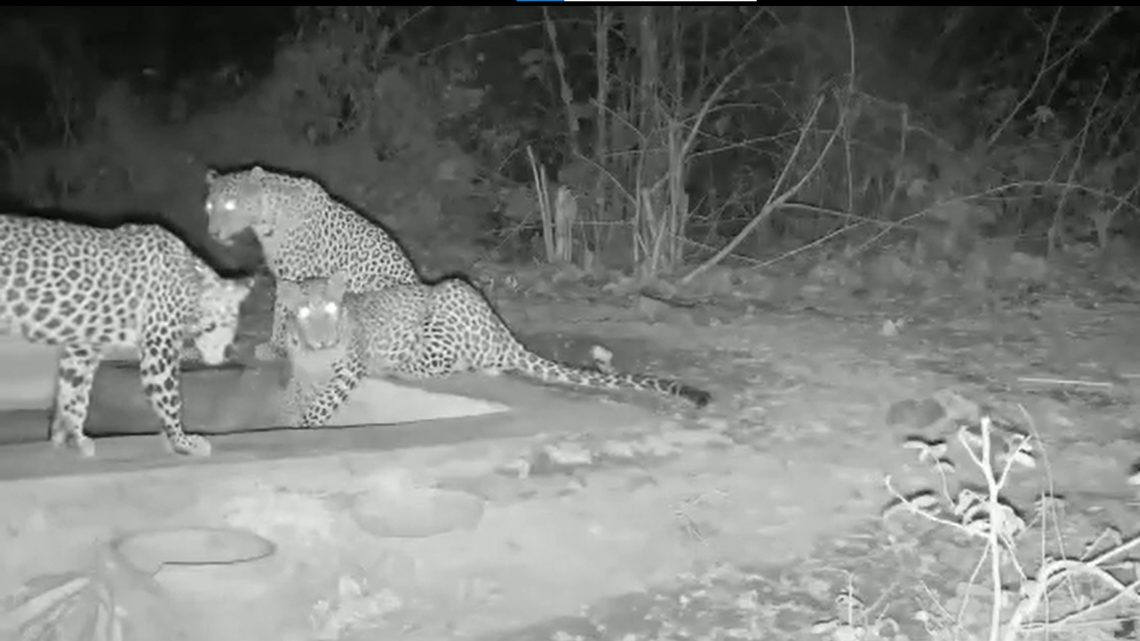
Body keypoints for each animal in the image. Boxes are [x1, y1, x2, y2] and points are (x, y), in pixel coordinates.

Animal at [0, 213, 254, 458]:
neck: (192, 282)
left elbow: (73, 392)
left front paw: (69, 438)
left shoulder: (83, 347)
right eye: (225, 325)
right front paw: (184, 443)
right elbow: (170, 399)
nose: (220, 358)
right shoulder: (159, 348)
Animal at [202, 165, 420, 363]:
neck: (266, 220)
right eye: (210, 208)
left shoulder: (295, 274)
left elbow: (283, 312)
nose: (213, 233)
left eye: (231, 205)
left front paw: (276, 348)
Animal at [273, 272, 712, 429]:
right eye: (305, 312)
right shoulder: (300, 370)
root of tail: (503, 332)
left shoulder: (348, 369)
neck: (314, 354)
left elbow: (322, 402)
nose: (323, 339)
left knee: (439, 363)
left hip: (449, 297)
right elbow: (292, 391)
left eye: (332, 310)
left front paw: (303, 424)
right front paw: (285, 410)